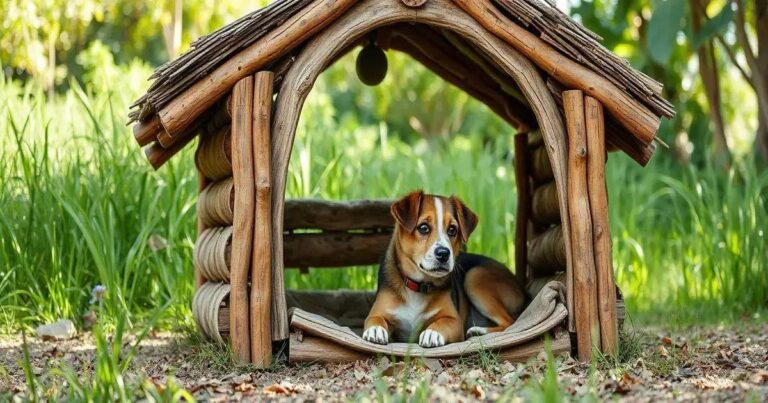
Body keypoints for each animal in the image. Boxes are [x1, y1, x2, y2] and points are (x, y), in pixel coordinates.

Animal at [364, 191, 524, 348]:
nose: (443, 253)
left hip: (474, 277)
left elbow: (442, 322)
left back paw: (478, 331)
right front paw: (375, 329)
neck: (419, 285)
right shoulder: (378, 311)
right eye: (423, 228)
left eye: (452, 230)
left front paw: (432, 333)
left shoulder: (454, 321)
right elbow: (374, 319)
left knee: (509, 322)